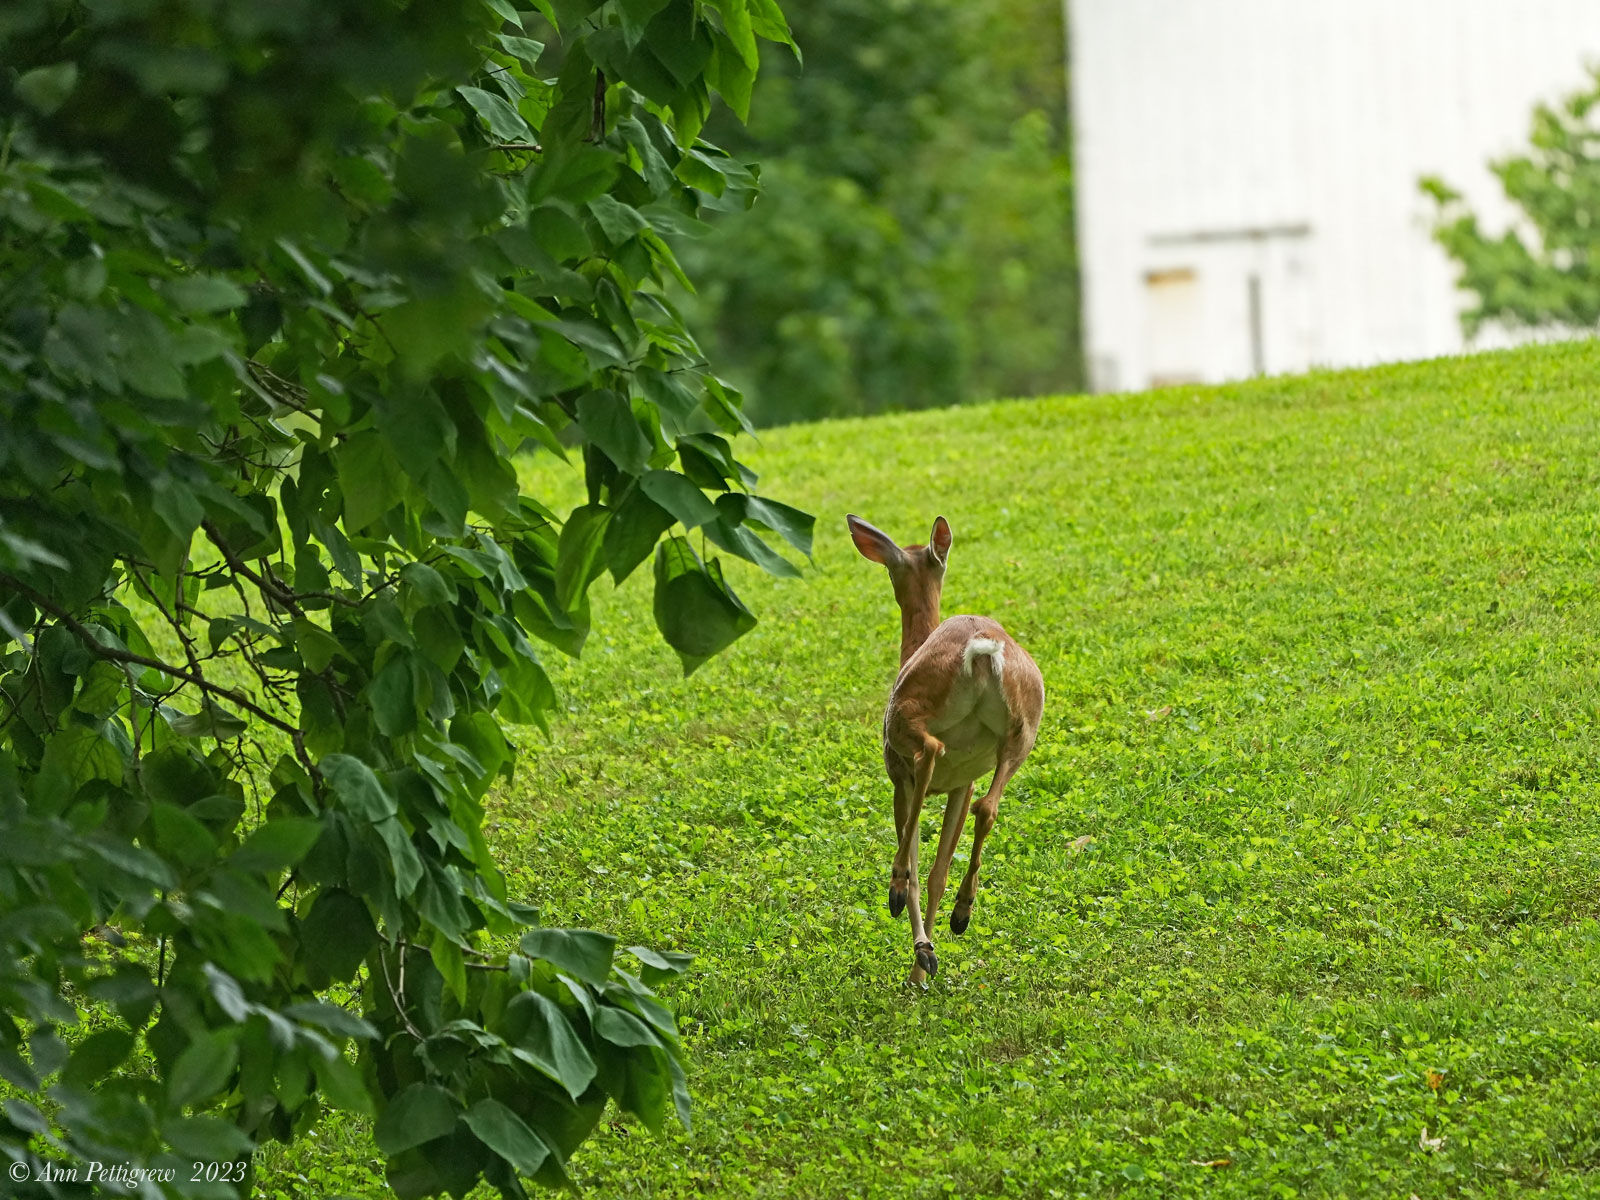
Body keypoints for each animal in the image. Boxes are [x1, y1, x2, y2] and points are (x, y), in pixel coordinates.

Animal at [851, 515, 1049, 985]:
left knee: (930, 753)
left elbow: (921, 860)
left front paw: (921, 956)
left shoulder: (898, 778)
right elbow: (938, 870)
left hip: (906, 723)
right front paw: (923, 965)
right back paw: (963, 911)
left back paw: (896, 889)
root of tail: (983, 649)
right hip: (1022, 733)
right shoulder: (964, 782)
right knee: (988, 806)